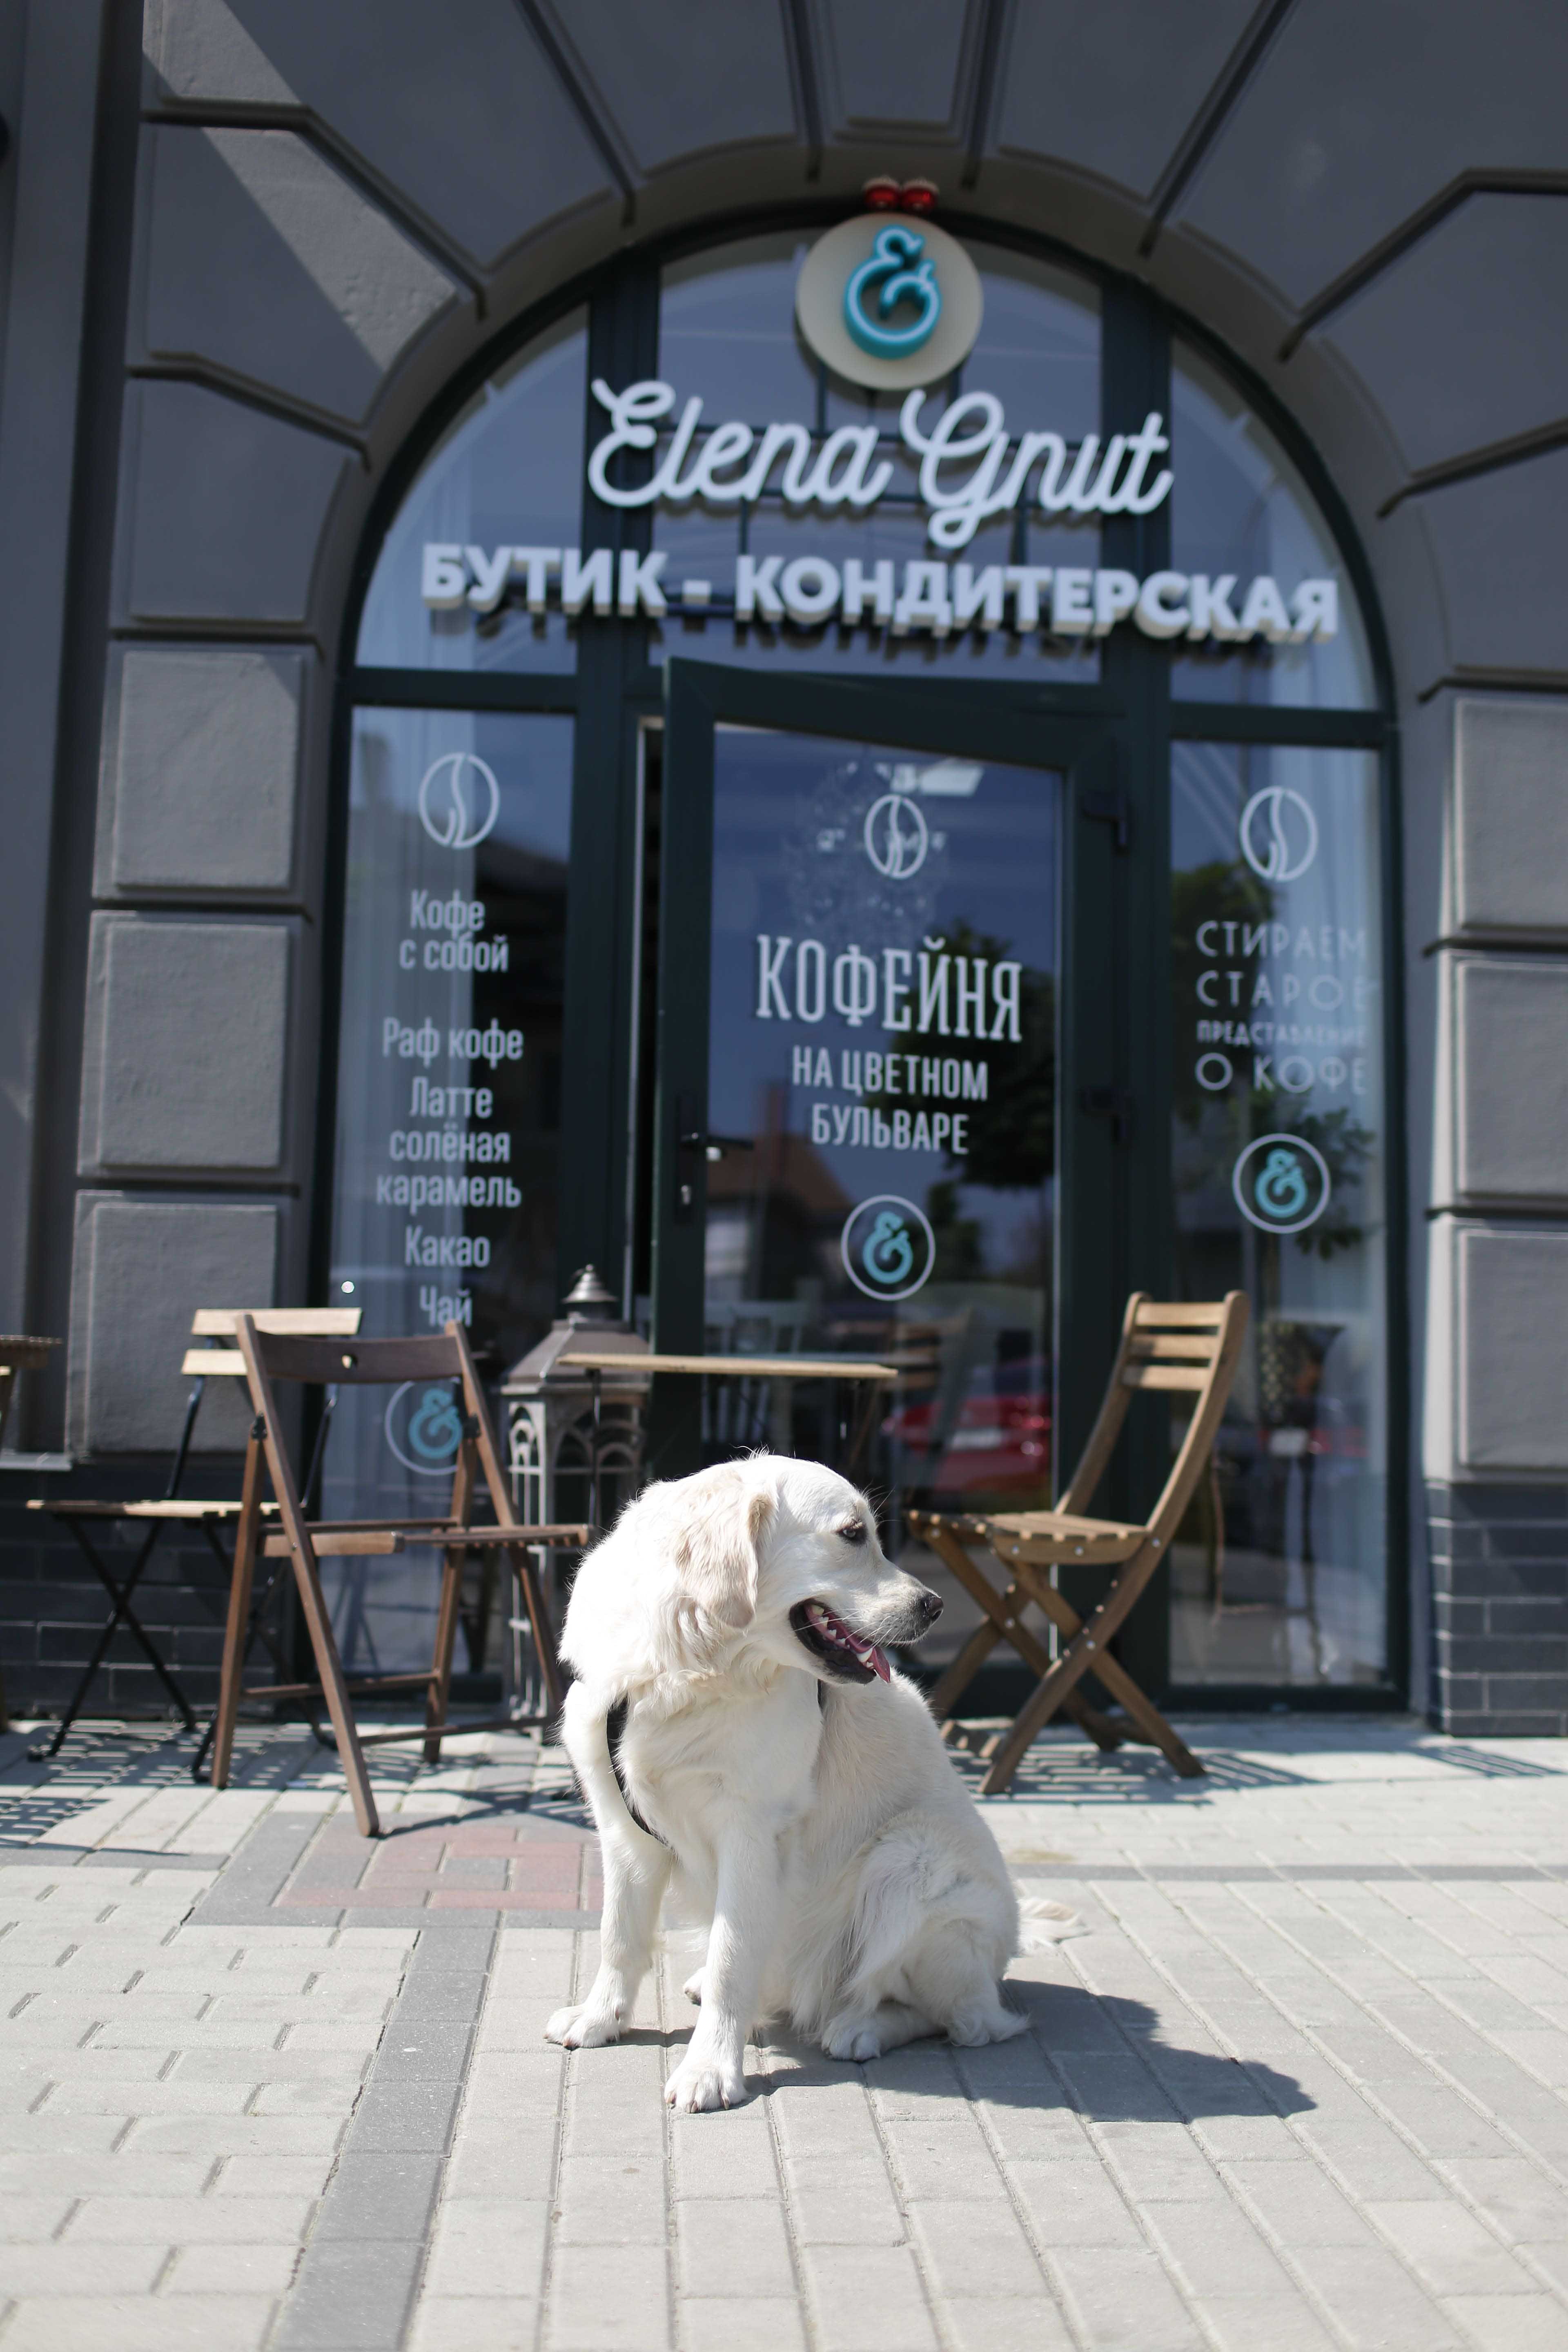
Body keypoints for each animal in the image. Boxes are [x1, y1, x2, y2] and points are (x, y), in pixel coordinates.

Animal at [544, 1452, 1032, 2112]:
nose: (934, 1605)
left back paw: (860, 2027)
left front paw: (709, 2070)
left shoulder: (753, 1831)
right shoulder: (623, 1825)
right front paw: (600, 2019)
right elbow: (618, 1935)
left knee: (961, 2019)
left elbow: (733, 1956)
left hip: (912, 1860)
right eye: (852, 1534)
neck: (684, 1663)